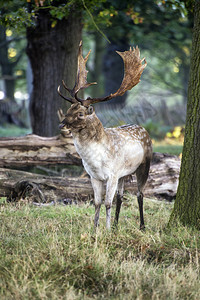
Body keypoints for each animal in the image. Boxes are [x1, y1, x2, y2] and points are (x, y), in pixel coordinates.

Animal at [57, 41, 152, 230]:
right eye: (69, 109)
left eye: (80, 113)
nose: (61, 125)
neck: (96, 160)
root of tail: (143, 128)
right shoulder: (94, 176)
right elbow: (97, 203)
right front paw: (95, 229)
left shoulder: (112, 174)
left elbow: (108, 203)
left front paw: (105, 230)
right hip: (124, 173)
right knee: (121, 196)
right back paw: (116, 225)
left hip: (145, 164)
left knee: (140, 194)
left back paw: (142, 226)